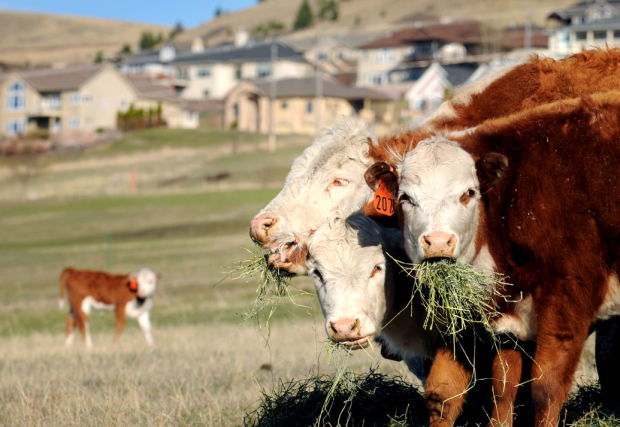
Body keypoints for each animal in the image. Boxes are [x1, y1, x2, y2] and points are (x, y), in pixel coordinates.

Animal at [364, 93, 620, 424]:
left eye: (468, 193)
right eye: (405, 198)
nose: (438, 242)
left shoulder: (567, 302)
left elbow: (546, 388)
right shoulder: (506, 326)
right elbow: (499, 390)